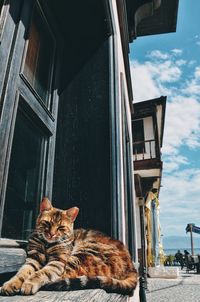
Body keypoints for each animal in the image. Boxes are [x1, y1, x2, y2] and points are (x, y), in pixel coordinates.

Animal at [0, 197, 138, 296]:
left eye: (61, 227)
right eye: (47, 223)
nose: (51, 234)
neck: (47, 244)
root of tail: (131, 266)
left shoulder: (58, 262)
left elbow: (40, 273)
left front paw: (29, 283)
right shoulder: (34, 259)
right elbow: (22, 272)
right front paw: (11, 284)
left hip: (82, 255)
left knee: (64, 276)